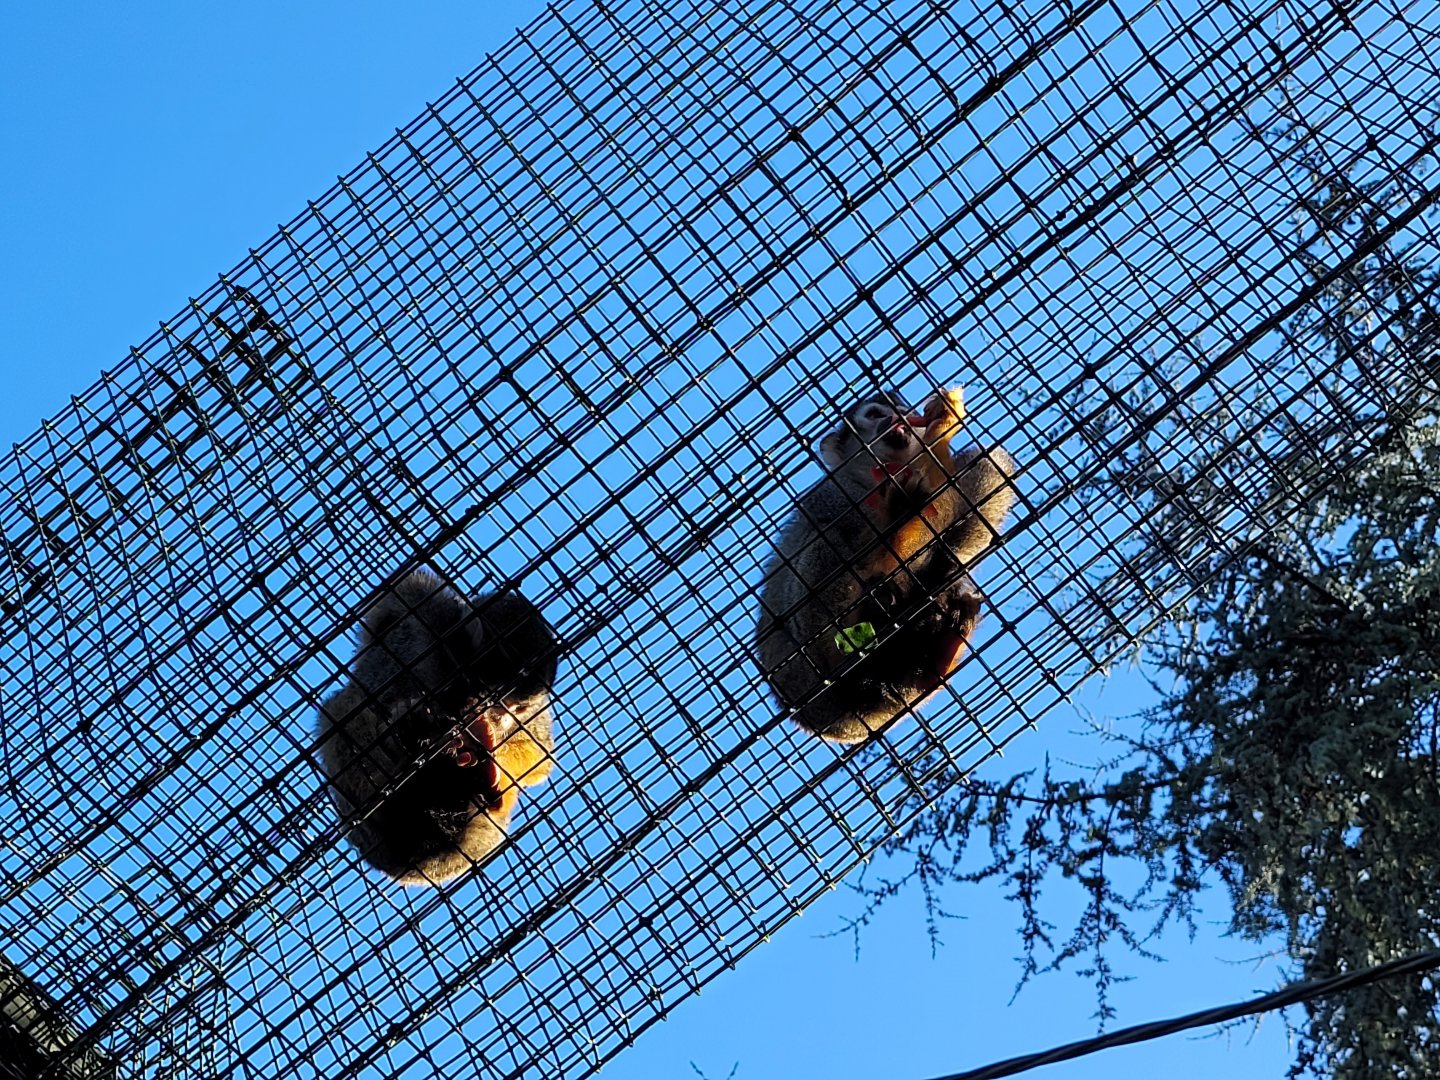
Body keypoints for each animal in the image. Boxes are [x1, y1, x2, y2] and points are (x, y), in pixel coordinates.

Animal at [318, 570, 557, 886]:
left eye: (510, 708)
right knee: (341, 711)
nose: (492, 716)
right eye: (490, 694)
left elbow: (540, 760)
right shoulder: (429, 623)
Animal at [755, 386, 1017, 744]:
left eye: (902, 412)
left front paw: (942, 426)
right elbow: (857, 540)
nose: (895, 420)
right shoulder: (836, 493)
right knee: (826, 541)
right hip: (809, 676)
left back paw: (939, 640)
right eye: (875, 414)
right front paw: (903, 511)